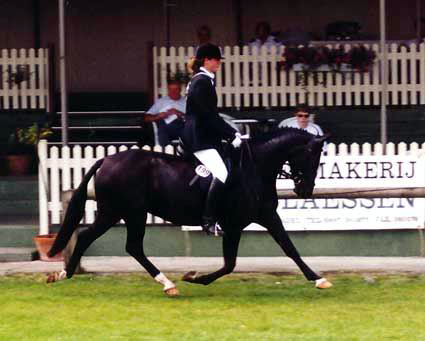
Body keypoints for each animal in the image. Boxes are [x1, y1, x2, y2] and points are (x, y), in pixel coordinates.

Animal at [47, 127, 332, 294]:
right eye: (311, 156)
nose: (305, 190)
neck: (254, 168)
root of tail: (106, 159)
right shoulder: (233, 225)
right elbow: (230, 264)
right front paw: (194, 277)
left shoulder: (267, 216)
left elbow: (289, 248)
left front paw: (318, 279)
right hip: (127, 213)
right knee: (123, 244)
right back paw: (167, 284)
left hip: (119, 213)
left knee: (103, 240)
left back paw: (64, 274)